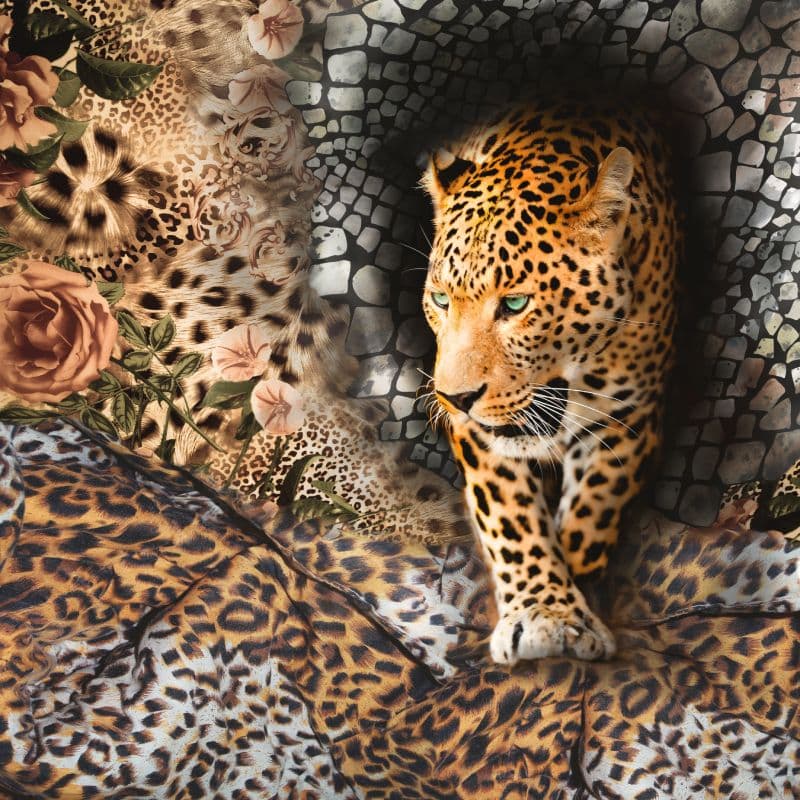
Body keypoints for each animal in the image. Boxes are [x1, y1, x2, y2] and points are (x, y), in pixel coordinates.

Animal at [422, 96, 680, 665]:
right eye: (441, 300)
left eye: (516, 304)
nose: (454, 397)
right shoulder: (480, 436)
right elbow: (511, 521)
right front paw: (546, 613)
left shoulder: (631, 411)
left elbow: (593, 509)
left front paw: (576, 598)